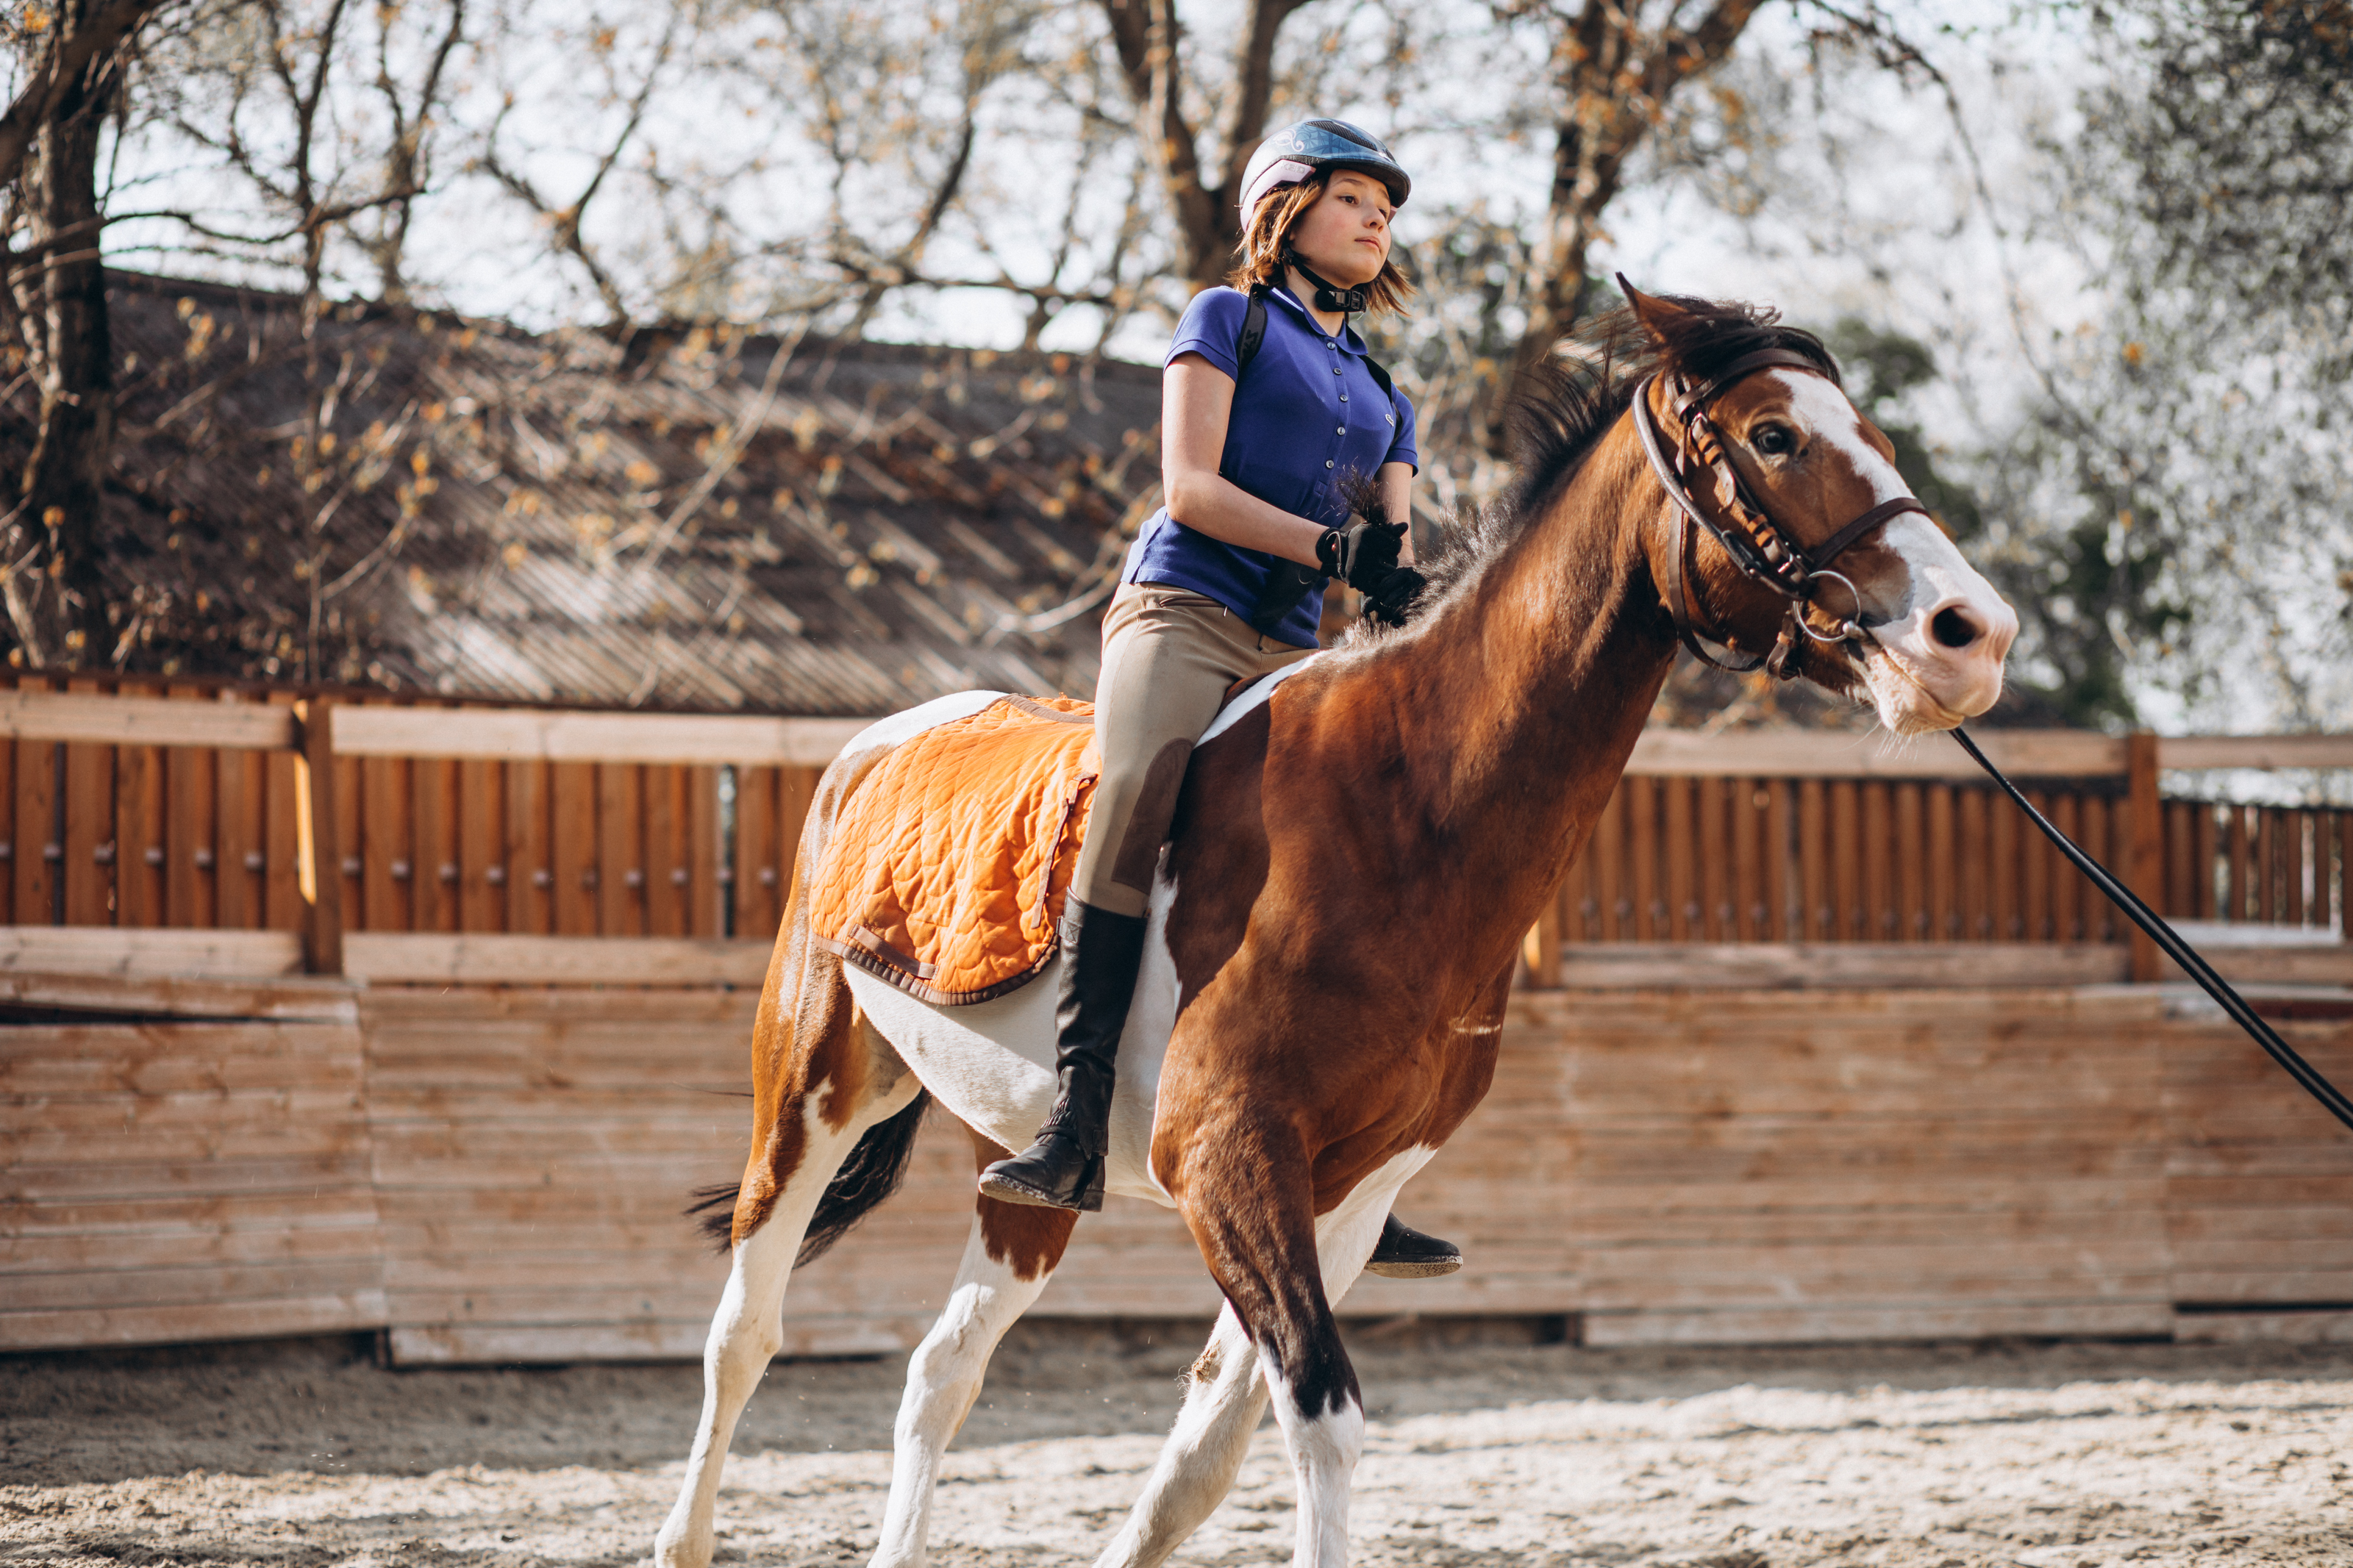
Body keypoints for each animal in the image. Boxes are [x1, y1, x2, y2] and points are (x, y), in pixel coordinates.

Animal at [654, 286, 2019, 1568]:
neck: (1406, 807)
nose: (1974, 635)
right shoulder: (1231, 1158)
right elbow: (1321, 1415)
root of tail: (886, 739)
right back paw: (686, 1527)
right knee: (742, 1331)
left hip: (1026, 1169)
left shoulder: (1352, 1194)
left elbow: (1210, 1449)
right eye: (1775, 434)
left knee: (943, 1367)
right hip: (810, 1093)